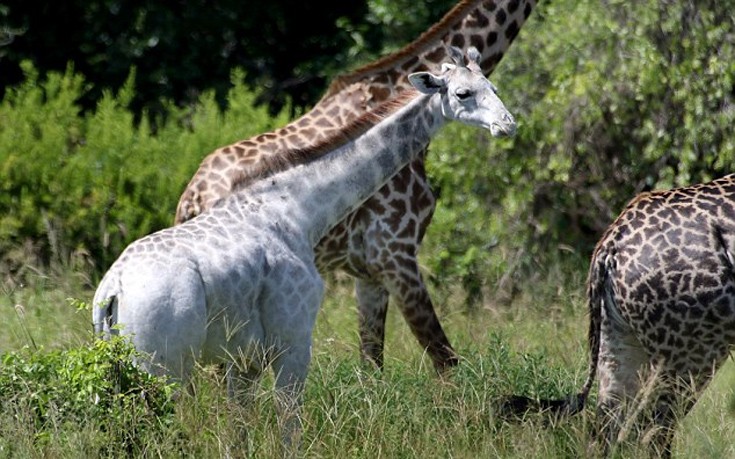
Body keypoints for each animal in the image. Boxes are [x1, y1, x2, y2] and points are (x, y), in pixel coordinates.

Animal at [93, 46, 516, 450]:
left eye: (493, 87)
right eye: (462, 93)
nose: (508, 124)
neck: (300, 210)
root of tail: (110, 290)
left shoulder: (243, 357)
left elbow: (238, 432)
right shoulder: (293, 341)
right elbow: (288, 428)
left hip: (119, 370)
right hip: (164, 366)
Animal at [175, 0, 536, 374]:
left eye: (495, 90)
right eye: (463, 93)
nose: (508, 125)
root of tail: (192, 198)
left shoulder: (368, 272)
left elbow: (372, 364)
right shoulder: (396, 253)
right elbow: (445, 360)